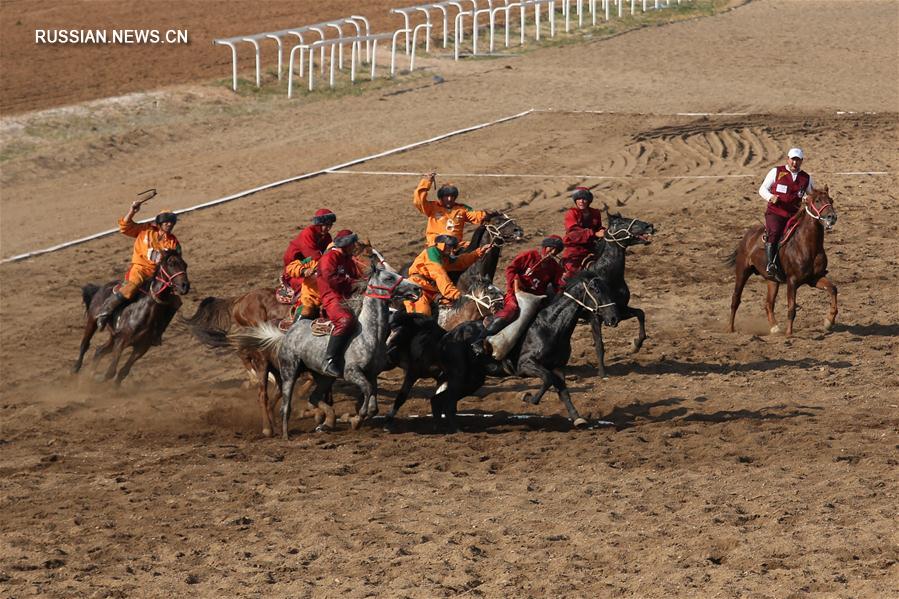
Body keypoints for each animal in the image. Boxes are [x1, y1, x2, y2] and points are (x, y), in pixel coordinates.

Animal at [74, 252, 192, 384]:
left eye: (185, 264)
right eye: (172, 264)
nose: (185, 286)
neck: (144, 312)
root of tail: (101, 288)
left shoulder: (141, 347)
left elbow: (122, 372)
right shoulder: (121, 342)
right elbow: (111, 372)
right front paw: (97, 379)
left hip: (113, 336)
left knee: (99, 351)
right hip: (93, 320)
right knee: (85, 344)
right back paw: (75, 369)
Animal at [236, 268, 426, 440]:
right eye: (388, 277)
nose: (416, 288)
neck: (369, 334)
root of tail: (289, 331)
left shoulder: (372, 374)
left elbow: (373, 403)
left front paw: (353, 418)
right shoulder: (351, 373)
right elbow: (366, 392)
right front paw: (355, 420)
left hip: (322, 377)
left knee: (312, 396)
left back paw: (324, 422)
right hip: (287, 371)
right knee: (280, 403)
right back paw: (281, 433)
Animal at [428, 270, 620, 434]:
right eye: (596, 290)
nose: (613, 318)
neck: (550, 326)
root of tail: (447, 336)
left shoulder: (558, 367)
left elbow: (563, 391)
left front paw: (577, 419)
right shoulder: (526, 365)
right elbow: (547, 379)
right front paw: (526, 397)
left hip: (473, 379)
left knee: (440, 400)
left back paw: (442, 428)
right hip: (459, 376)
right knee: (446, 400)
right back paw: (455, 429)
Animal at [584, 211, 652, 378]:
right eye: (623, 222)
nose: (650, 226)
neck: (607, 277)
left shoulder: (619, 310)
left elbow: (640, 313)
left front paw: (636, 345)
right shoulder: (594, 318)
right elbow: (600, 345)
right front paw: (602, 372)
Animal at [728, 188, 840, 338]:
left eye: (831, 200)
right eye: (817, 200)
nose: (832, 217)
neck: (807, 246)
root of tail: (748, 236)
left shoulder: (814, 278)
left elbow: (833, 289)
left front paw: (829, 320)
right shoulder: (792, 281)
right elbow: (791, 308)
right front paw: (789, 333)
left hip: (772, 281)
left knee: (768, 304)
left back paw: (775, 328)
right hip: (742, 271)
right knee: (735, 299)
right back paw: (730, 329)